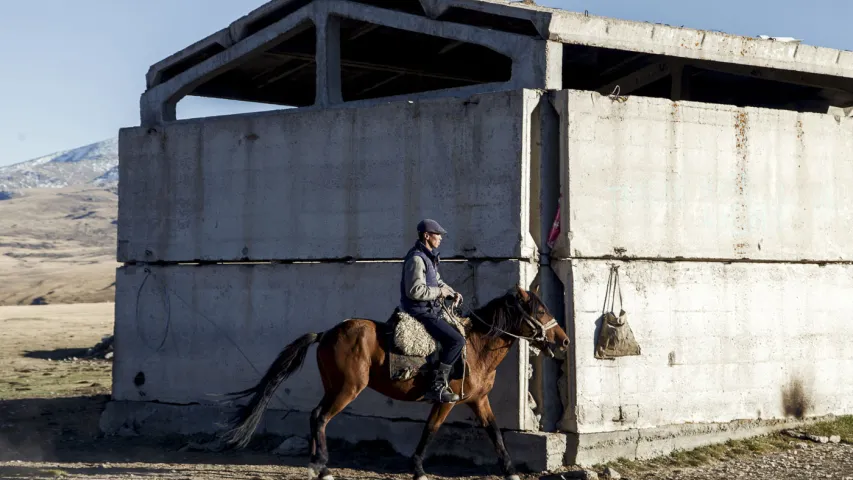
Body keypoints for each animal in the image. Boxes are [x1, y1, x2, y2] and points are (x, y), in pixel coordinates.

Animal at [216, 284, 568, 480]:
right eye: (540, 310)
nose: (564, 341)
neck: (476, 345)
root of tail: (327, 332)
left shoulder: (479, 400)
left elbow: (495, 433)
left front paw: (510, 471)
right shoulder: (446, 400)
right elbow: (431, 431)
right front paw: (418, 469)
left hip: (333, 387)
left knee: (315, 416)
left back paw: (316, 465)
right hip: (346, 389)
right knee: (321, 418)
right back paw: (325, 469)